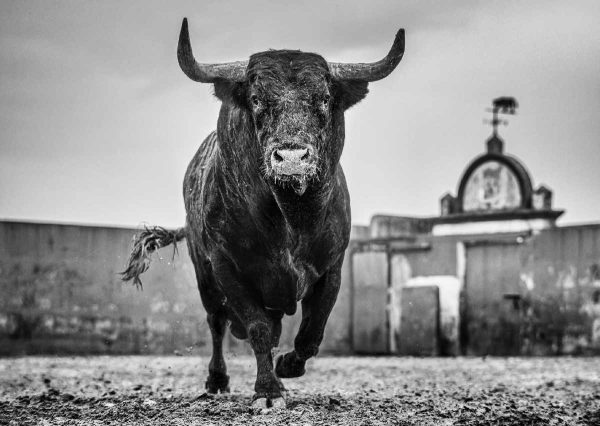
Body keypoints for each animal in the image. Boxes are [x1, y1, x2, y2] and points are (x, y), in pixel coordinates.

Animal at [121, 18, 404, 408]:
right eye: (256, 100)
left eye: (324, 98)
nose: (291, 158)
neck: (291, 218)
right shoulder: (227, 267)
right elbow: (256, 329)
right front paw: (267, 391)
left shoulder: (332, 268)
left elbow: (311, 333)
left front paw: (286, 368)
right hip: (203, 274)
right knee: (217, 322)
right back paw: (218, 379)